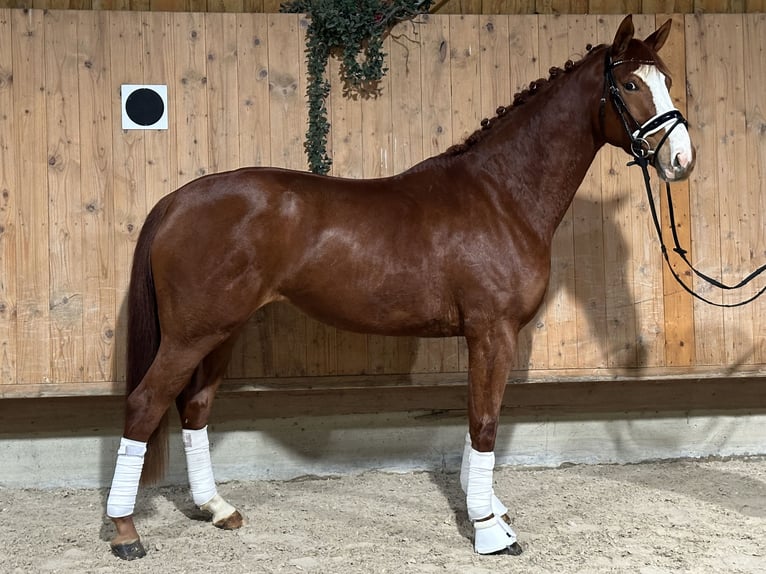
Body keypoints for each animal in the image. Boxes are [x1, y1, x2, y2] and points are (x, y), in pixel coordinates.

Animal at [106, 15, 696, 560]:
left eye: (667, 79)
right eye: (631, 85)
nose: (681, 160)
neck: (502, 195)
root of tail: (178, 200)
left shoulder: (485, 337)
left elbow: (476, 421)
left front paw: (488, 509)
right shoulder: (493, 332)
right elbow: (485, 423)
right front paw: (490, 531)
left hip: (222, 332)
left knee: (195, 407)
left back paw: (217, 508)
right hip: (191, 336)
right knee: (144, 405)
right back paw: (126, 533)